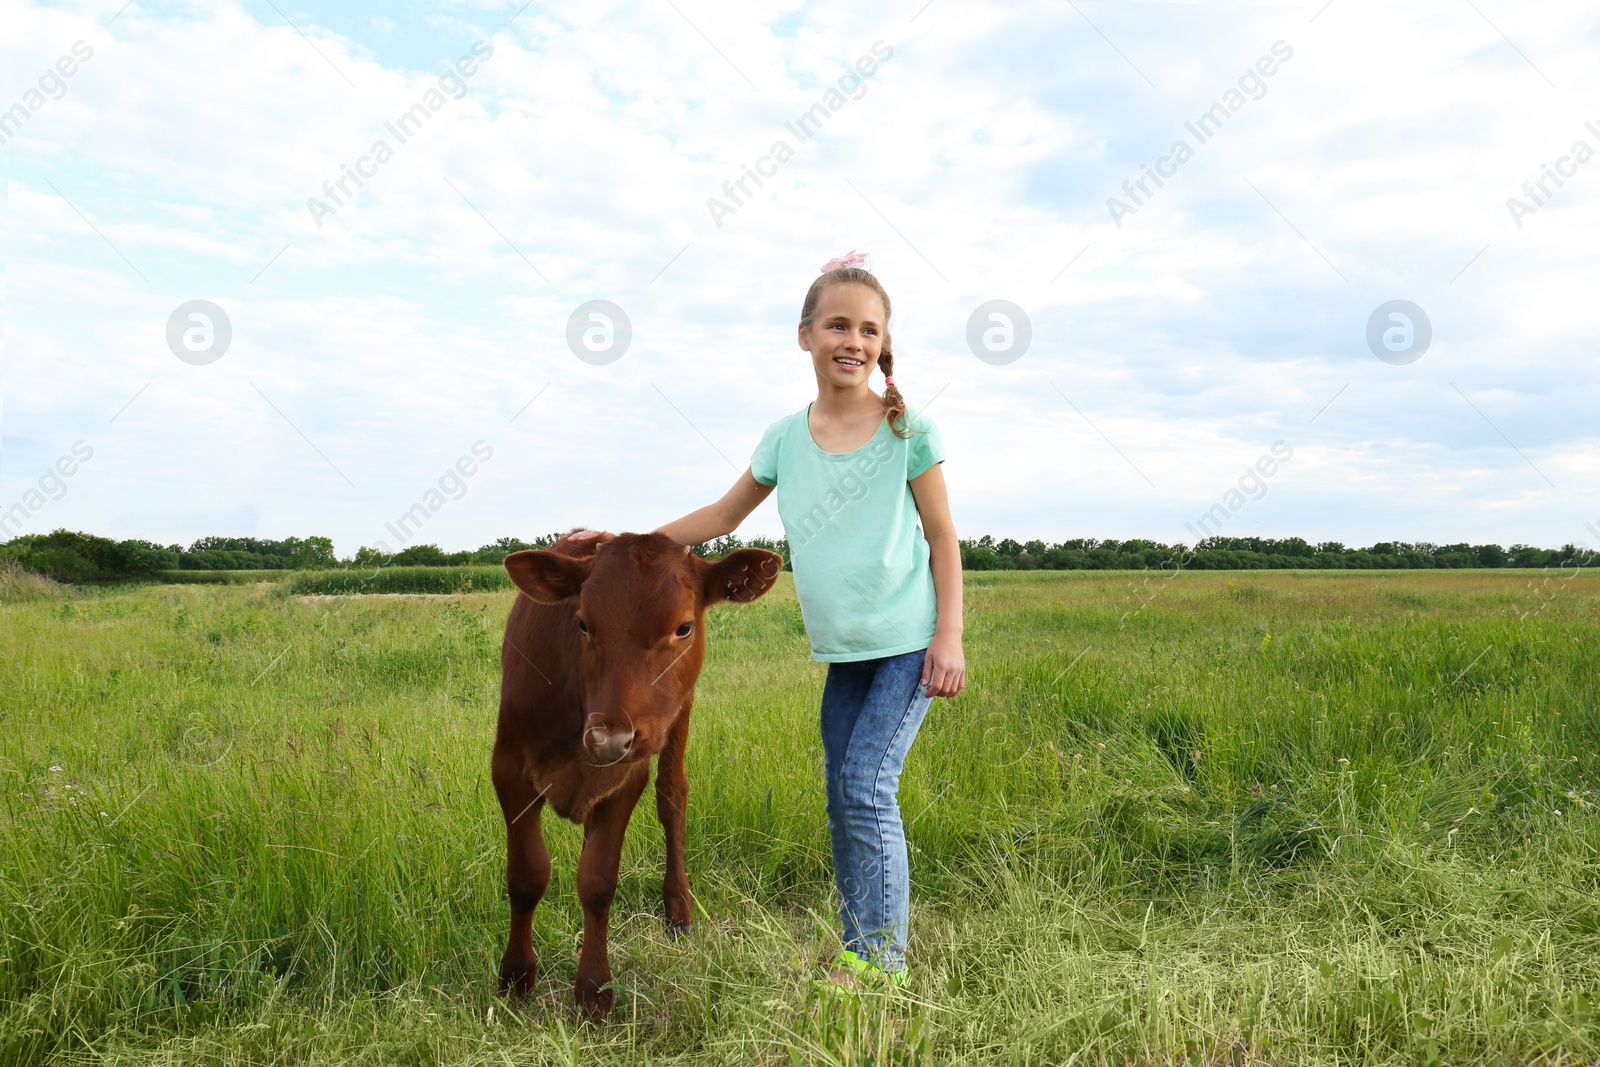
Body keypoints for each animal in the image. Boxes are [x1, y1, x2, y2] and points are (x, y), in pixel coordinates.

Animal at [489, 531, 784, 1017]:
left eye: (683, 627)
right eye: (582, 624)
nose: (610, 739)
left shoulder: (626, 778)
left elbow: (598, 881)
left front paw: (594, 992)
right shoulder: (509, 770)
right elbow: (527, 875)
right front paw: (515, 978)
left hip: (678, 717)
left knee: (672, 797)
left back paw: (679, 909)